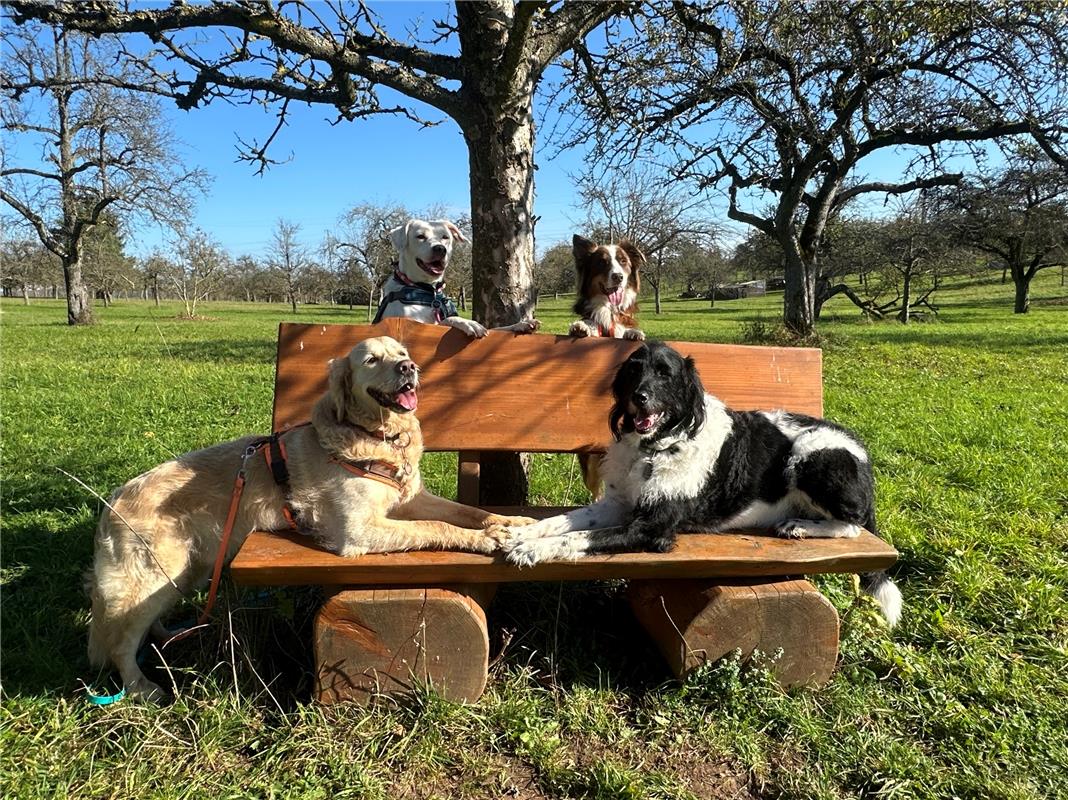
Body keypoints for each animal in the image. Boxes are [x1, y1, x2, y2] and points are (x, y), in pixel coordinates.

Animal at [378, 216, 542, 335]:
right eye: (420, 236)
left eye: (445, 237)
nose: (440, 249)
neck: (427, 290)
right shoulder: (411, 323)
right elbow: (448, 320)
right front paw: (468, 323)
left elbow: (495, 329)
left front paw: (520, 325)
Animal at [499, 339, 901, 628]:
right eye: (633, 371)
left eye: (665, 374)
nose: (638, 397)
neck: (656, 446)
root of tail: (863, 457)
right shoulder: (616, 504)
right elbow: (562, 521)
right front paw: (521, 533)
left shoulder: (652, 528)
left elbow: (578, 537)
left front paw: (531, 550)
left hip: (810, 452)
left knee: (852, 525)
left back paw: (800, 526)